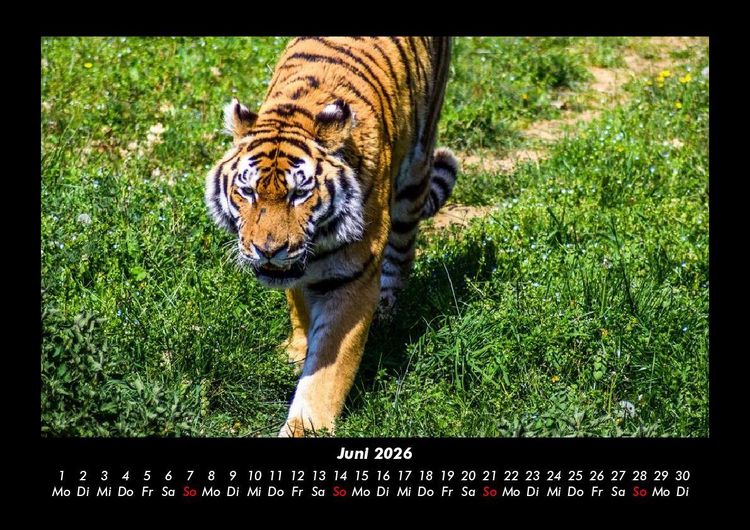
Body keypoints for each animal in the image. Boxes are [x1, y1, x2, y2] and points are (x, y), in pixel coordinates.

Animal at [205, 37, 459, 437]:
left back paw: (386, 309)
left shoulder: (352, 281)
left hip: (415, 173)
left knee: (401, 252)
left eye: (299, 194)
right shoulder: (296, 270)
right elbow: (299, 306)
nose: (268, 250)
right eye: (248, 192)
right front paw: (297, 349)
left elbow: (325, 371)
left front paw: (305, 426)